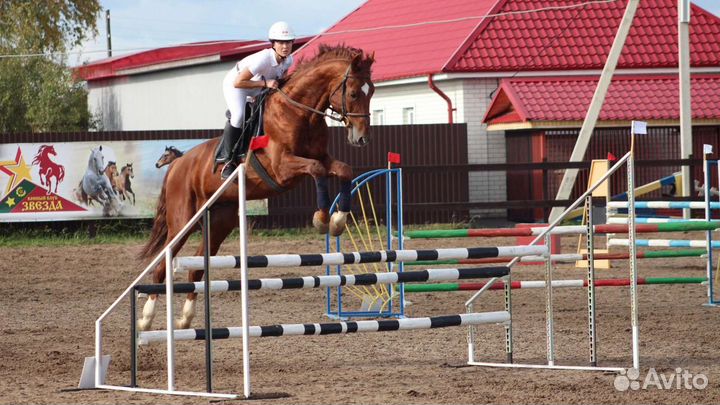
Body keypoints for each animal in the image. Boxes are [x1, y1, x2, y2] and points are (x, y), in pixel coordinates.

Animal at [139, 44, 380, 330]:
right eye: (353, 93)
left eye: (372, 91)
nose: (362, 138)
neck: (300, 113)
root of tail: (177, 164)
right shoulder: (283, 168)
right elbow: (317, 171)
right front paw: (322, 219)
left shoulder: (323, 158)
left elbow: (343, 170)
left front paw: (338, 221)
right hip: (182, 221)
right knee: (161, 266)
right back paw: (146, 318)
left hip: (220, 222)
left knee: (196, 266)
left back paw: (185, 318)